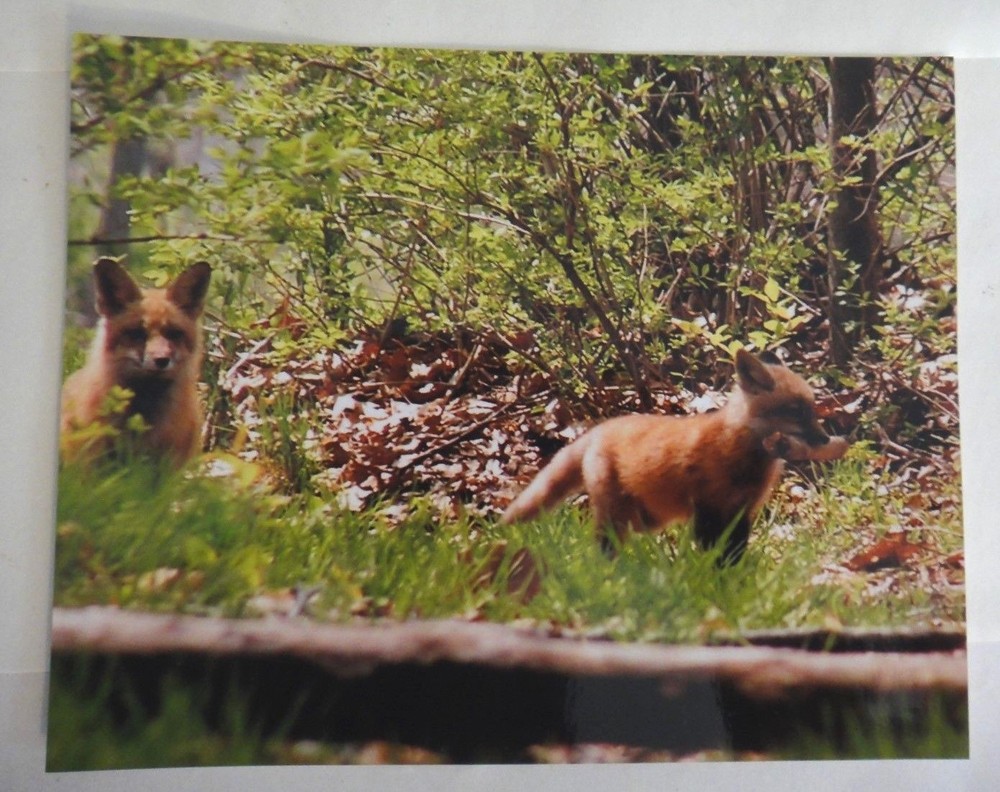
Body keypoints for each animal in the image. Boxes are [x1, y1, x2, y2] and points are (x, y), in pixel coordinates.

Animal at [501, 349, 848, 563]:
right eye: (795, 411)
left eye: (812, 410)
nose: (826, 439)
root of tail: (600, 428)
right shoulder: (709, 508)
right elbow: (714, 554)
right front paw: (717, 580)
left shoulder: (740, 512)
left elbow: (734, 554)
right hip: (617, 517)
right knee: (603, 546)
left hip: (647, 518)